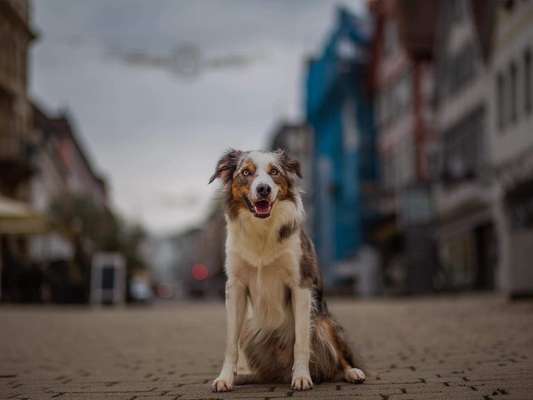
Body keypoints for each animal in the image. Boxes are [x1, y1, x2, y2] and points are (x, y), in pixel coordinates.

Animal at [210, 149, 364, 390]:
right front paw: (225, 378)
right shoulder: (236, 287)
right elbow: (231, 344)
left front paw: (301, 377)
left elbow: (300, 341)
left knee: (339, 358)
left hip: (322, 322)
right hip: (250, 328)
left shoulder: (301, 284)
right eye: (246, 172)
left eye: (274, 172)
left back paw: (351, 372)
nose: (264, 189)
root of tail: (278, 373)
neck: (261, 229)